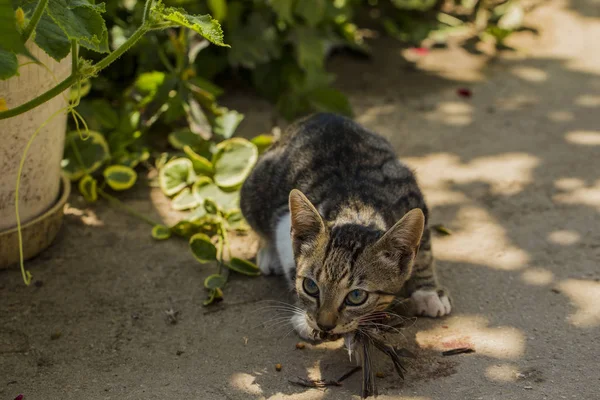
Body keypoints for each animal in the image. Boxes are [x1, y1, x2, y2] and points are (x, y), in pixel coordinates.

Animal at [239, 113, 450, 340]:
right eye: (310, 286)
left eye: (356, 296)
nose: (324, 325)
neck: (357, 207)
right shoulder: (283, 219)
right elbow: (292, 263)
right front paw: (303, 316)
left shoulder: (411, 197)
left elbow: (424, 251)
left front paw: (428, 292)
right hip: (254, 189)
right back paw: (269, 253)